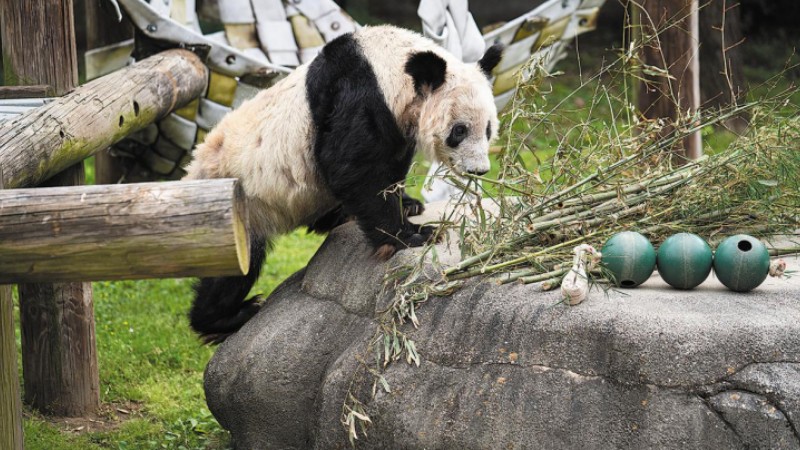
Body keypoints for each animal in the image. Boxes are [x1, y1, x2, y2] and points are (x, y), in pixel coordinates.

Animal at [184, 24, 504, 342]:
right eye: (459, 130)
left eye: (488, 129)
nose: (479, 170)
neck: (389, 63)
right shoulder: (358, 92)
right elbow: (351, 166)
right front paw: (413, 235)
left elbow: (389, 166)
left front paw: (409, 205)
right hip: (237, 206)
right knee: (233, 269)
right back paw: (226, 317)